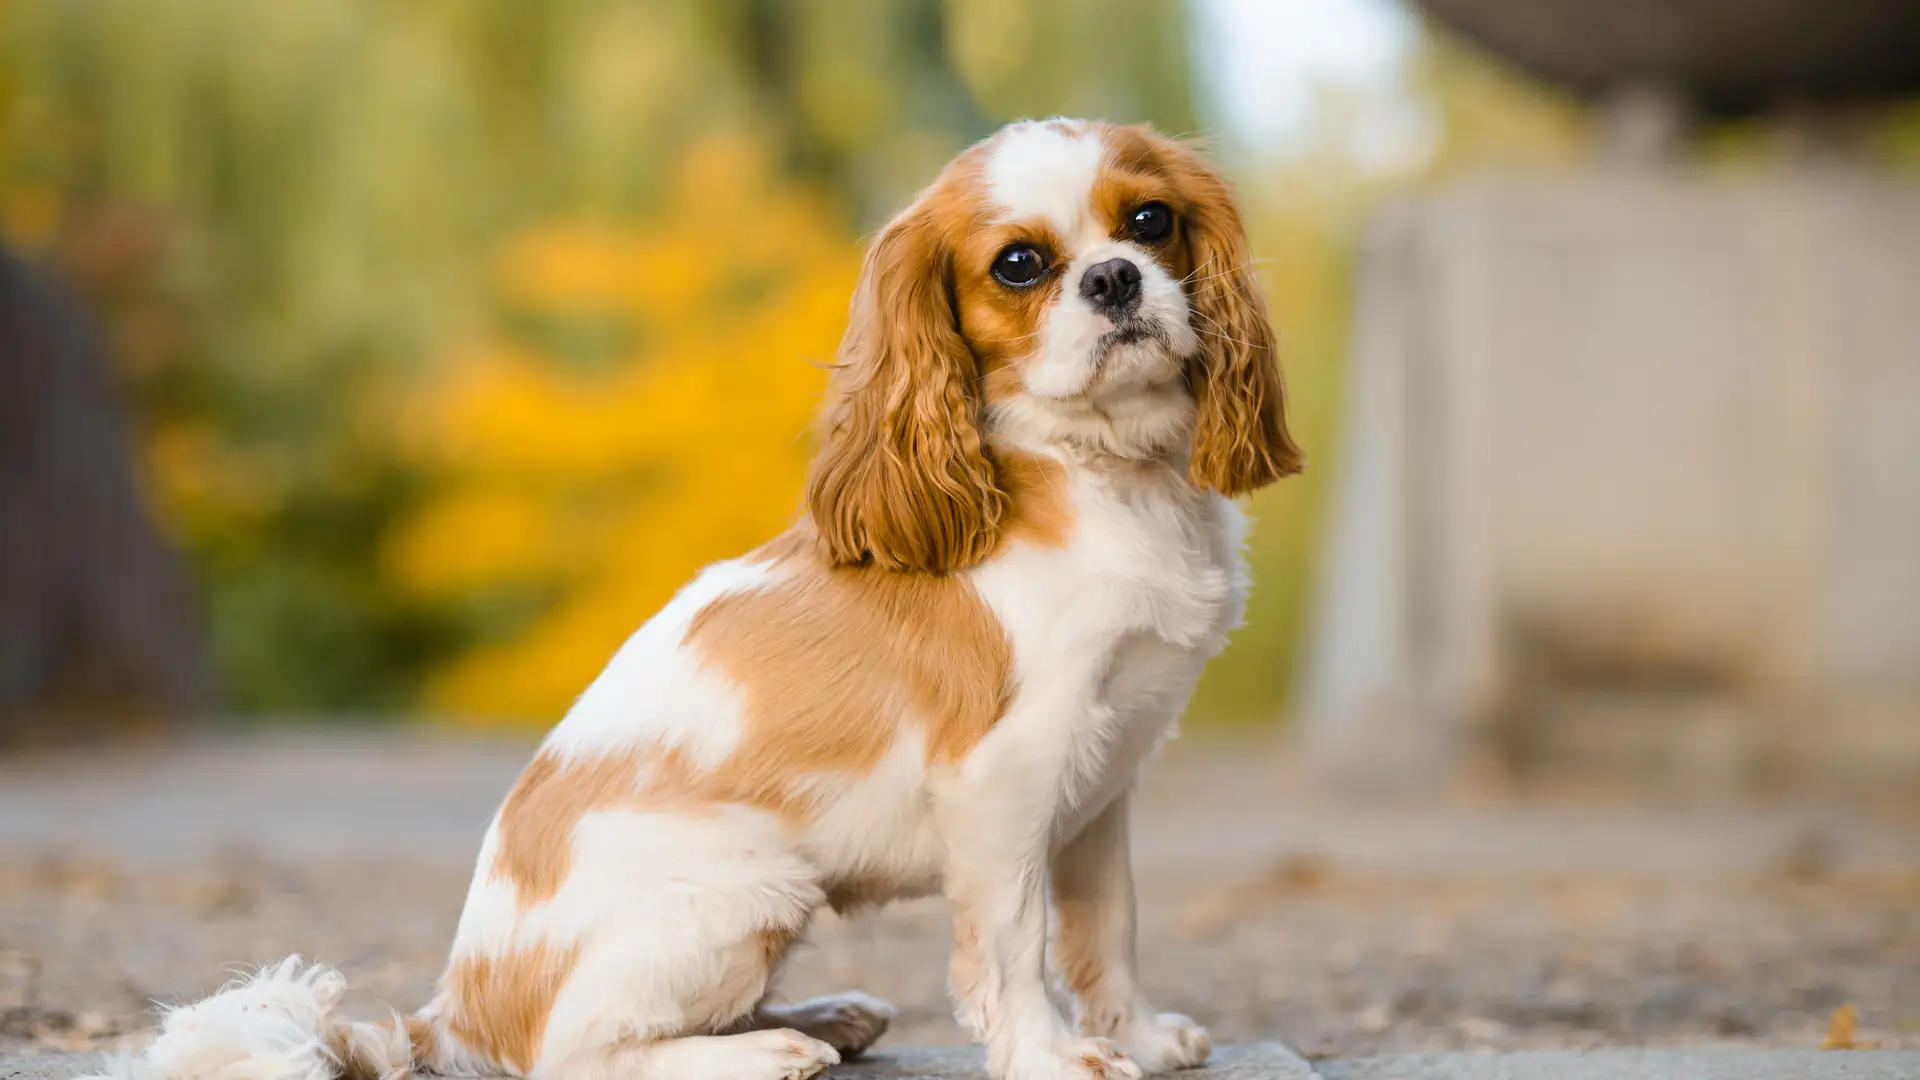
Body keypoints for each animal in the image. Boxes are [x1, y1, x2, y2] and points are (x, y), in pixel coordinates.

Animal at [101, 117, 1305, 1076]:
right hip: (752, 888)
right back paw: (766, 1051)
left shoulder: (1099, 785)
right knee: (579, 1056)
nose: (1113, 279)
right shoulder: (1005, 780)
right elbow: (1015, 946)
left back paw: (822, 1017)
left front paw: (1139, 1035)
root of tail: (453, 1014)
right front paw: (1055, 1057)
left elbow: (1110, 927)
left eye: (1149, 221)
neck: (1105, 474)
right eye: (1019, 265)